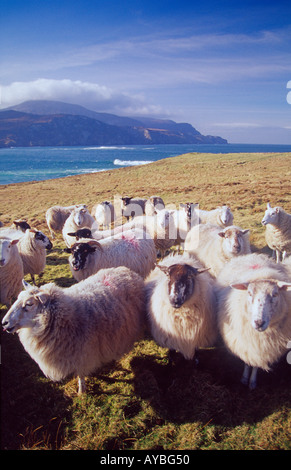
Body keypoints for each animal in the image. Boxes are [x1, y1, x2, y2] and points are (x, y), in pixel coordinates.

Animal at [2, 266, 147, 394]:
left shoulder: (82, 353)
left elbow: (80, 374)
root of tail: (125, 270)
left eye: (29, 304)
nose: (4, 323)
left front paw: (81, 391)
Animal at [217, 253, 291, 390]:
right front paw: (245, 378)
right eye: (249, 293)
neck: (259, 335)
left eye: (275, 294)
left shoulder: (260, 347)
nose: (259, 323)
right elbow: (247, 362)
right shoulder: (246, 343)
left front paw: (252, 381)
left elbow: (256, 365)